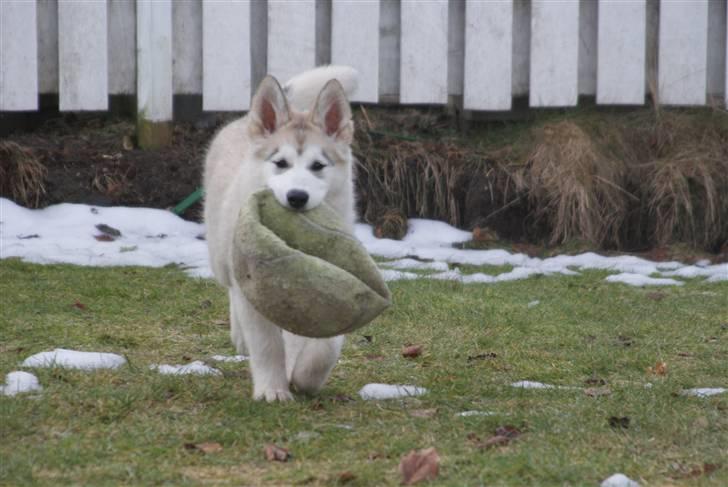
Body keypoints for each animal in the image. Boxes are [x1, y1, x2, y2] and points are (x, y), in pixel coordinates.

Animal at [202, 66, 358, 402]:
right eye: (281, 163)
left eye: (318, 166)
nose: (297, 196)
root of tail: (242, 121)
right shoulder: (253, 294)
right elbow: (266, 345)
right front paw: (272, 389)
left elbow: (326, 343)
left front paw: (305, 376)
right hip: (221, 254)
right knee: (231, 289)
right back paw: (240, 337)